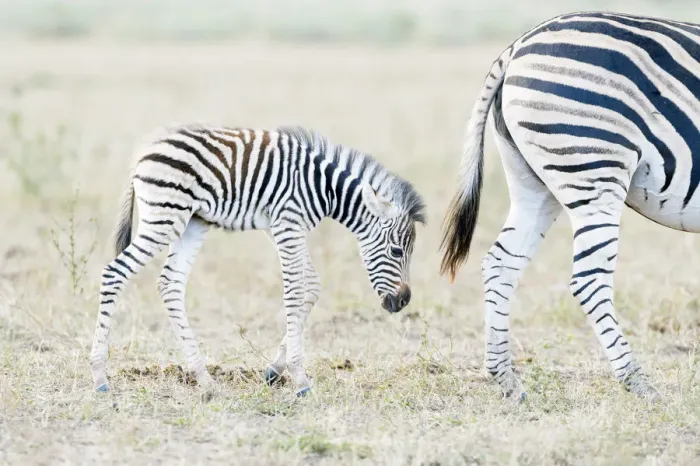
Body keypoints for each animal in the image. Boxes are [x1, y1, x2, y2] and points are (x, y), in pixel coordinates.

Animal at [90, 124, 425, 398]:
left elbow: (311, 286)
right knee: (114, 272)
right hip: (165, 216)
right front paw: (300, 379)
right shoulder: (288, 224)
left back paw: (205, 380)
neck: (323, 187)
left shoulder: (281, 228)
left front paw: (275, 370)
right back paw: (100, 377)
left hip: (192, 222)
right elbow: (295, 293)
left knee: (170, 283)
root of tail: (145, 153)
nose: (404, 301)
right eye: (397, 252)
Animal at [440, 11, 700, 402]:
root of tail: (517, 46)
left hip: (534, 184)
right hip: (594, 169)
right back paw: (637, 382)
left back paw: (506, 379)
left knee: (501, 263)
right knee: (590, 278)